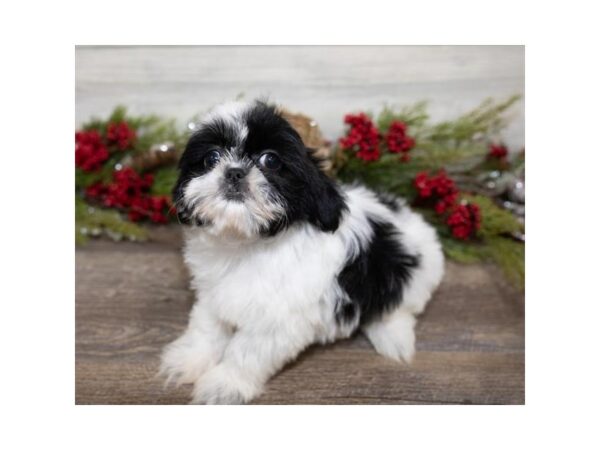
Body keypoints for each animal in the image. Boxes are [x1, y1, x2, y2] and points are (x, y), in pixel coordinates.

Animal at [159, 100, 446, 402]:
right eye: (211, 158)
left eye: (270, 160)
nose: (234, 171)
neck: (246, 243)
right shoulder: (213, 293)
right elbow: (206, 327)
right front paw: (188, 361)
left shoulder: (278, 320)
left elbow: (246, 351)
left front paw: (225, 385)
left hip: (415, 272)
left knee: (397, 307)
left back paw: (393, 337)